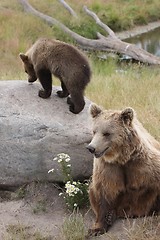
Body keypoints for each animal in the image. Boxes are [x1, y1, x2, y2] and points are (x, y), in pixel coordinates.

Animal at [87, 103, 160, 236]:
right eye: (94, 131)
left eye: (106, 133)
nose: (91, 148)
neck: (121, 158)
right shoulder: (108, 168)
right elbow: (103, 193)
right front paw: (96, 228)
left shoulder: (142, 165)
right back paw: (111, 215)